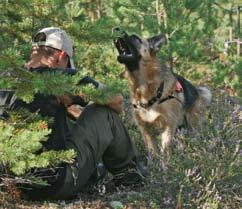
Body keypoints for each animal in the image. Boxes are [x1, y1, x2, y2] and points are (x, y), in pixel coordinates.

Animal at [112, 27, 212, 164]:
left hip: (193, 127)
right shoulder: (146, 130)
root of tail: (197, 92)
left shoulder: (168, 127)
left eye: (135, 37)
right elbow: (152, 151)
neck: (146, 88)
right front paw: (153, 165)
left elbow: (165, 150)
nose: (116, 28)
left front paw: (166, 164)